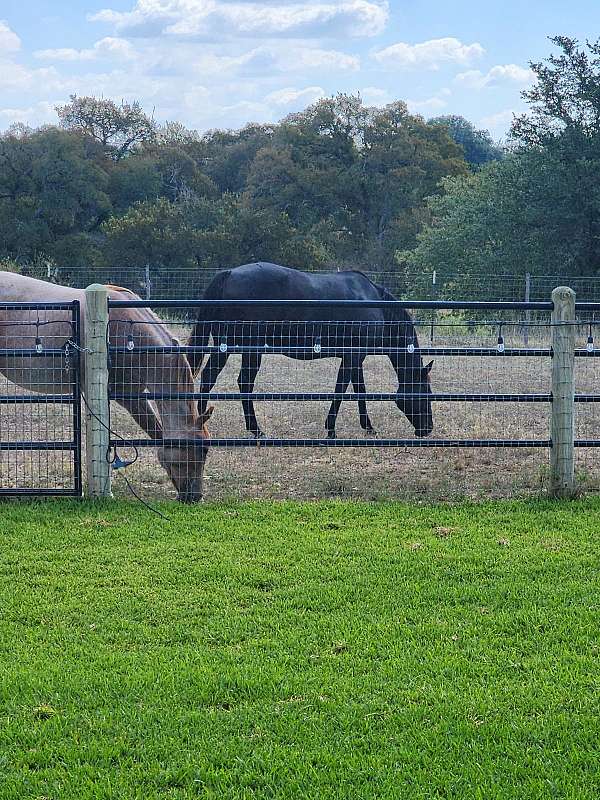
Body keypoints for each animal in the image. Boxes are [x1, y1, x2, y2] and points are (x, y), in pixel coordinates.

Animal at [186, 262, 432, 438]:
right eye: (426, 393)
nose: (427, 429)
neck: (375, 303)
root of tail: (229, 274)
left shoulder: (355, 356)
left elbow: (359, 390)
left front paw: (368, 427)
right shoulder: (353, 356)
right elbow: (341, 389)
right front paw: (331, 429)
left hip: (231, 347)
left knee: (216, 379)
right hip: (244, 348)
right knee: (234, 381)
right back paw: (248, 429)